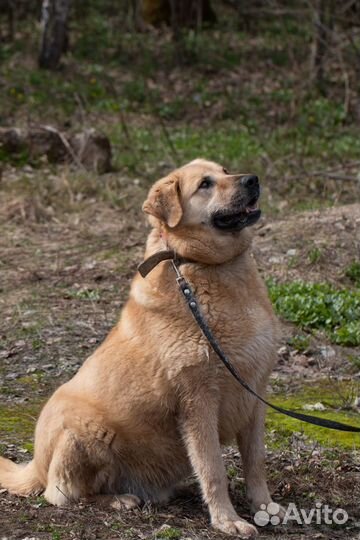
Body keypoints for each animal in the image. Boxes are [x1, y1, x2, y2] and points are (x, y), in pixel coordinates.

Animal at [0, 157, 282, 536]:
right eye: (205, 184)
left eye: (225, 171)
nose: (252, 180)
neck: (207, 267)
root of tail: (36, 464)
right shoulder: (198, 401)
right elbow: (213, 468)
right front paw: (227, 521)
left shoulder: (254, 393)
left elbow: (255, 462)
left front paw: (265, 507)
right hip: (82, 431)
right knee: (59, 493)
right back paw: (118, 500)